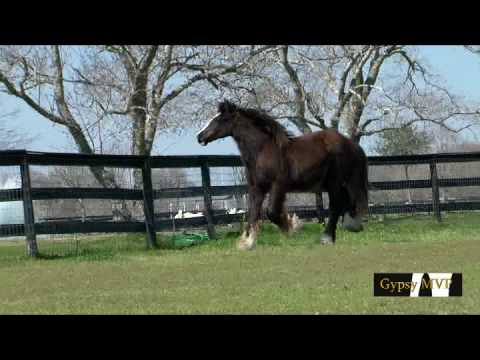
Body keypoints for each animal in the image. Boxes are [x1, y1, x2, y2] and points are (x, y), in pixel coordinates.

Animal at [196, 100, 368, 249]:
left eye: (220, 119)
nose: (199, 137)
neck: (262, 151)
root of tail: (351, 144)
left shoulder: (278, 185)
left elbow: (271, 212)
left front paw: (292, 227)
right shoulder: (257, 188)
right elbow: (253, 212)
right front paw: (248, 242)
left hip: (335, 182)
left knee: (335, 206)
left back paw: (327, 238)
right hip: (335, 183)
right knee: (346, 203)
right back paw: (349, 227)